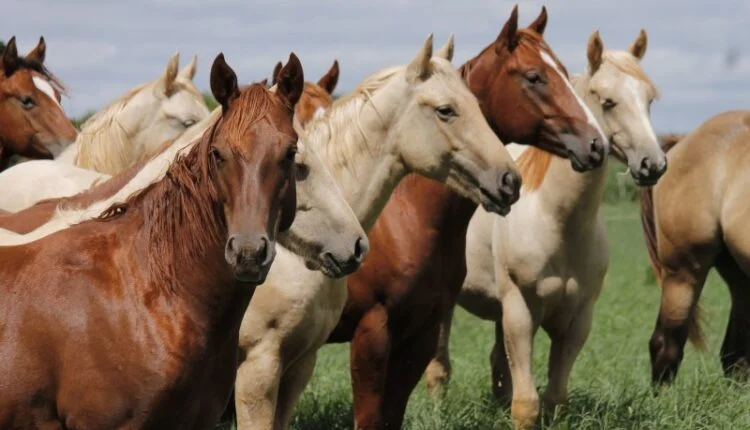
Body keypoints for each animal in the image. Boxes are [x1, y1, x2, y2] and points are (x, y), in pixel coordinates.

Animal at [431, 29, 663, 429]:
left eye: (649, 98)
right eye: (608, 101)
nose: (653, 164)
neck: (555, 220)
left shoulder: (577, 318)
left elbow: (555, 399)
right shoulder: (520, 312)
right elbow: (526, 403)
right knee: (439, 368)